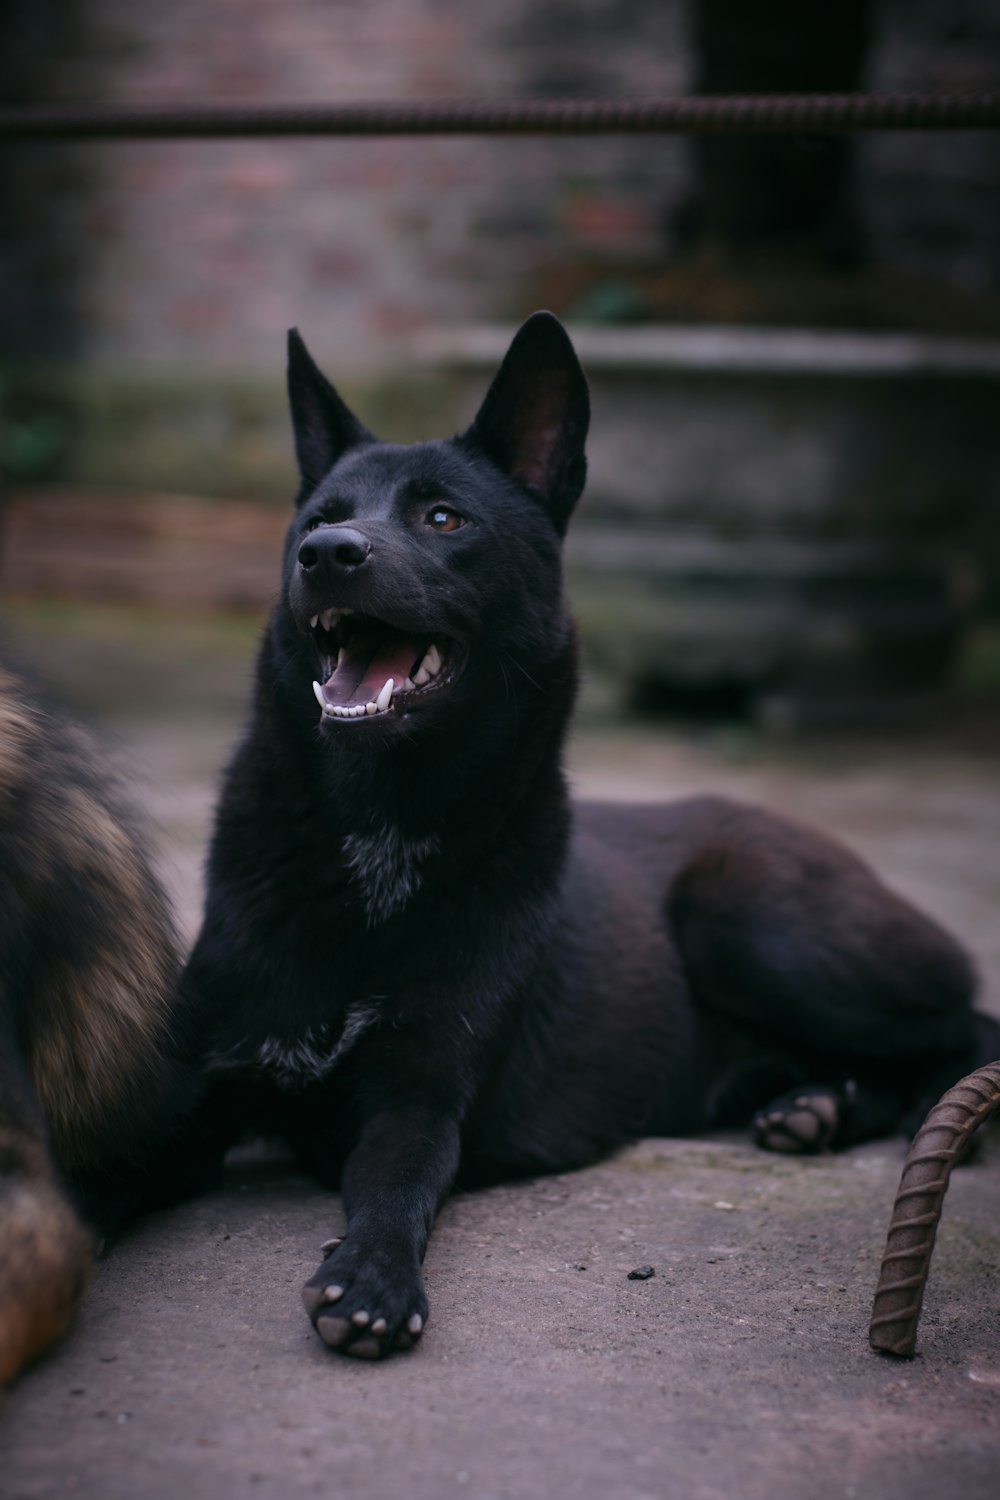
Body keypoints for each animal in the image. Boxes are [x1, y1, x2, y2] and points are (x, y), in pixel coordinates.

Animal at [176, 313, 995, 1362]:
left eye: (443, 519)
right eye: (320, 515)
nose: (326, 553)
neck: (380, 832)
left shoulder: (420, 1097)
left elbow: (396, 1184)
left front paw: (371, 1275)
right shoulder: (196, 1084)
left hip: (754, 923)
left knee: (969, 1021)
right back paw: (817, 1108)